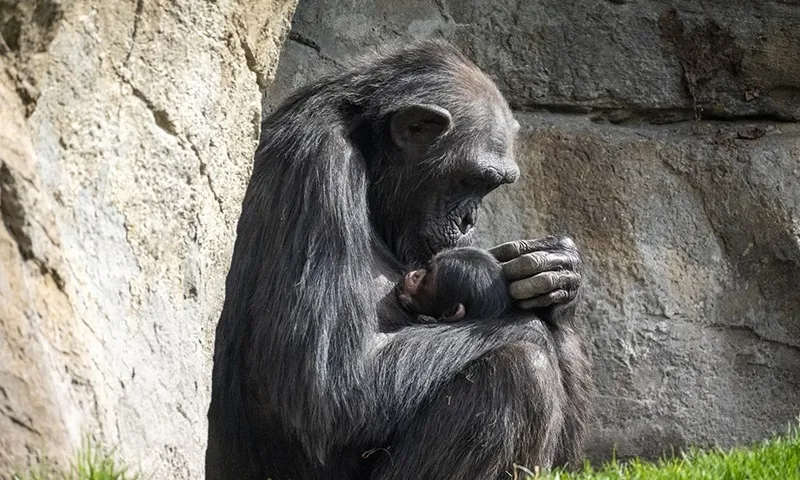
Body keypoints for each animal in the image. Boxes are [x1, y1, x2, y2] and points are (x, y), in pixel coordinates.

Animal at [206, 40, 592, 480]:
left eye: (491, 186)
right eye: (469, 180)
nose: (469, 219)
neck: (368, 156)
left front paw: (556, 273)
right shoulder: (316, 167)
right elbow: (327, 389)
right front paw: (529, 322)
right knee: (522, 370)